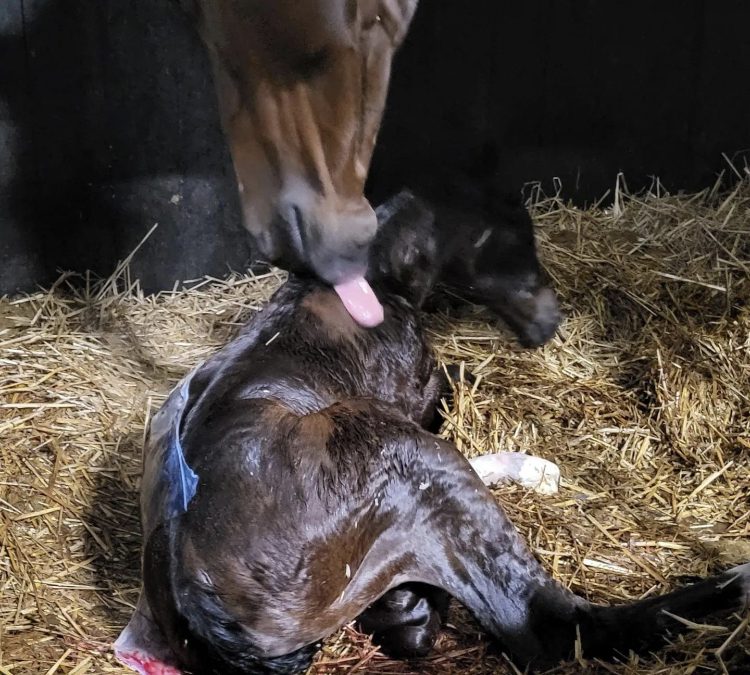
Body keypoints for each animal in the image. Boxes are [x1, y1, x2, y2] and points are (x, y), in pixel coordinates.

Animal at [114, 191, 748, 675]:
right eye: (514, 249)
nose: (549, 322)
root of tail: (191, 601)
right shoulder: (420, 398)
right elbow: (461, 389)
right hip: (400, 456)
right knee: (547, 626)